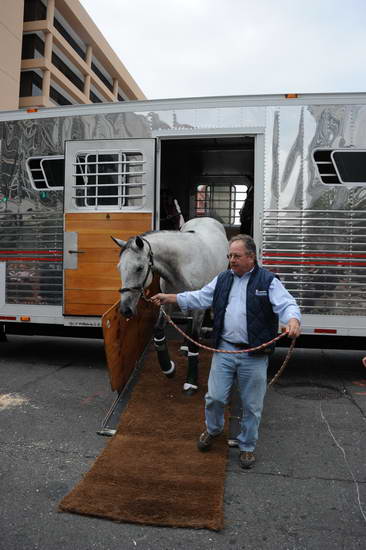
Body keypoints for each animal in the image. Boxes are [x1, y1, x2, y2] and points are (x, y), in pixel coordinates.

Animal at [113, 218, 229, 394]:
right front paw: (168, 368)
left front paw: (191, 381)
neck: (183, 265)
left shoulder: (199, 308)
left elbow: (195, 339)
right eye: (119, 268)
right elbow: (158, 332)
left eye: (139, 268)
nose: (125, 310)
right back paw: (184, 345)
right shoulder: (167, 303)